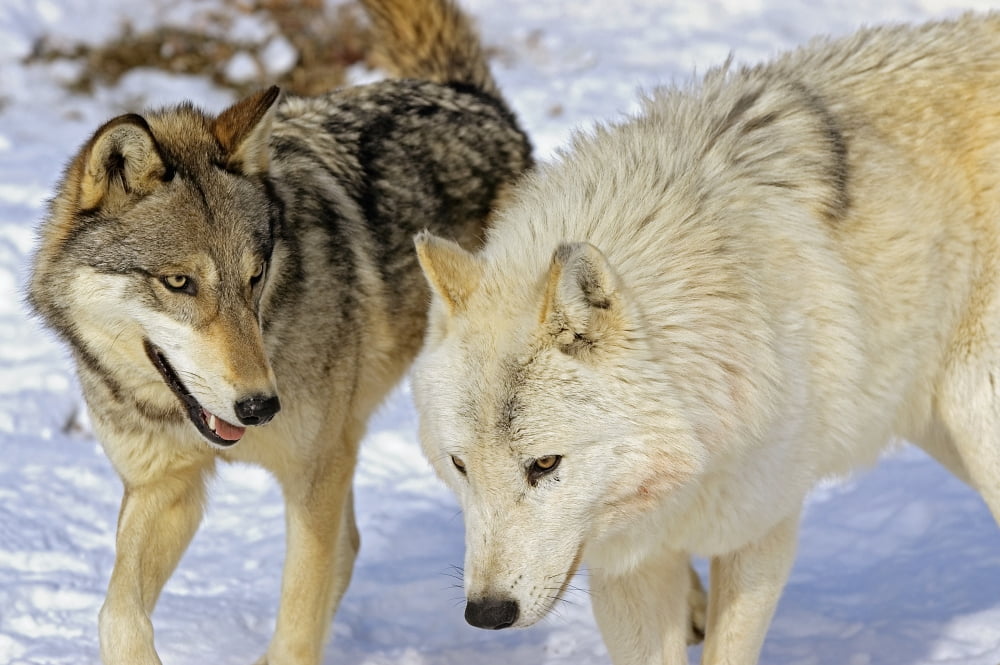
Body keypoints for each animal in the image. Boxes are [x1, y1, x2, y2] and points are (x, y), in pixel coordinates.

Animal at [26, 0, 531, 662]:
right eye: (179, 282)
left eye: (255, 275)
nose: (261, 406)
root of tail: (472, 97)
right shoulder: (165, 487)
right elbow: (117, 614)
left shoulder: (312, 477)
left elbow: (298, 622)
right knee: (352, 544)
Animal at [411, 12, 1000, 664]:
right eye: (459, 465)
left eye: (544, 464)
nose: (486, 613)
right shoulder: (630, 566)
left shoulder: (760, 529)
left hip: (978, 424)